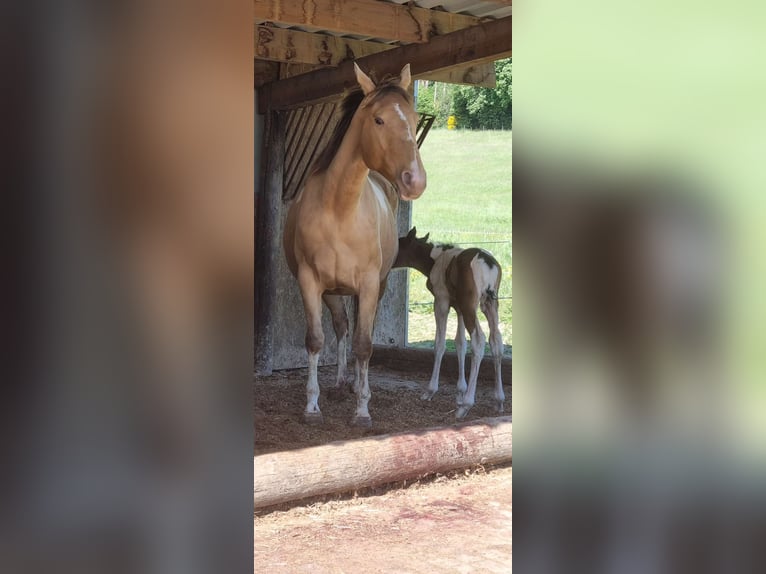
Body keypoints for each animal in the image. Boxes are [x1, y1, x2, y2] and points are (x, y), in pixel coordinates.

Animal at [283, 63, 427, 427]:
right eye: (378, 120)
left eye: (414, 118)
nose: (415, 181)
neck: (339, 210)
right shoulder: (310, 282)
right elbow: (316, 340)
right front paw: (312, 406)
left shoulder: (370, 283)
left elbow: (364, 344)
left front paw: (362, 409)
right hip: (334, 292)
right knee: (341, 327)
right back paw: (340, 383)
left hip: (376, 286)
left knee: (364, 333)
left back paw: (359, 387)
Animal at [394, 227, 505, 418]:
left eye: (399, 245)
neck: (435, 259)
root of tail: (487, 262)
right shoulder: (458, 307)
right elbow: (460, 343)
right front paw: (459, 393)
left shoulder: (441, 301)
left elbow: (440, 344)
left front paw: (431, 391)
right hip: (489, 304)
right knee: (495, 340)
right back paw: (498, 400)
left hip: (471, 306)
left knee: (479, 340)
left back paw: (466, 406)